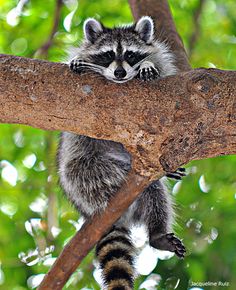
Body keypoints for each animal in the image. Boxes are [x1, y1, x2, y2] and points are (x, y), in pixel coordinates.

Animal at [57, 16, 186, 290]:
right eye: (107, 55)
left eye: (130, 54)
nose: (119, 73)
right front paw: (77, 61)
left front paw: (147, 65)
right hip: (82, 176)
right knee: (98, 172)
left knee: (155, 193)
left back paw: (157, 233)